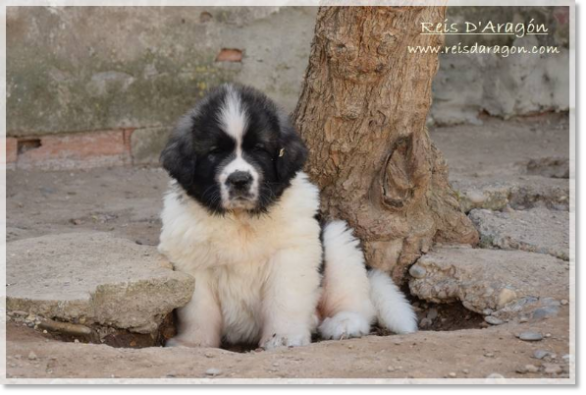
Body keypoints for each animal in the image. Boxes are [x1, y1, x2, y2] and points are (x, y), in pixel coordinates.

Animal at [157, 83, 418, 350]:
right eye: (214, 153)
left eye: (259, 149)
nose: (239, 179)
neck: (241, 220)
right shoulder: (191, 261)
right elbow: (199, 310)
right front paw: (193, 343)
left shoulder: (292, 254)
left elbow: (284, 299)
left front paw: (283, 338)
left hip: (337, 240)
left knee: (357, 301)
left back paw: (344, 324)